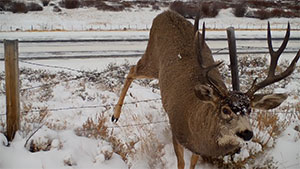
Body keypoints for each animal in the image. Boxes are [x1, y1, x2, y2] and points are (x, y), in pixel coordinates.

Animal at [111, 10, 298, 169]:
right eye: (225, 109)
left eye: (250, 109)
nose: (246, 133)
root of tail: (165, 13)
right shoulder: (176, 131)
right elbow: (181, 163)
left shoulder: (198, 148)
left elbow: (193, 163)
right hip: (152, 58)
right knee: (132, 69)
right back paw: (115, 115)